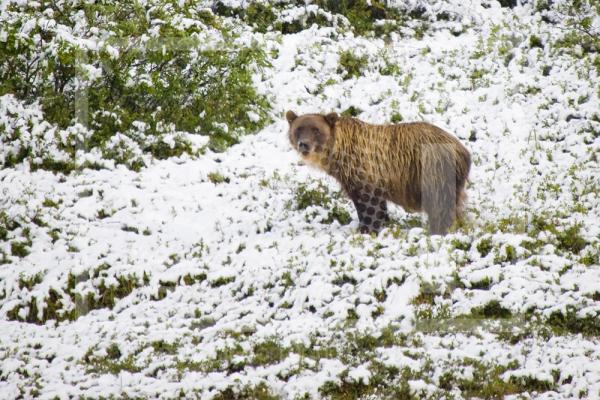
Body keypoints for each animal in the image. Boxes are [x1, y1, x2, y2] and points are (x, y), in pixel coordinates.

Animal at [288, 110, 474, 234]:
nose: (304, 144)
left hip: (434, 171)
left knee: (440, 205)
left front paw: (366, 229)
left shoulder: (365, 172)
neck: (339, 153)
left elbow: (369, 205)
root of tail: (462, 149)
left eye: (316, 130)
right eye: (299, 129)